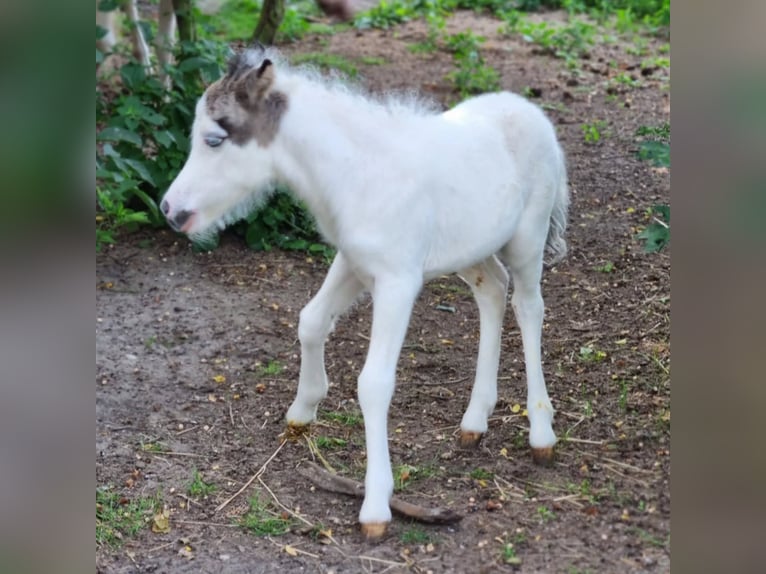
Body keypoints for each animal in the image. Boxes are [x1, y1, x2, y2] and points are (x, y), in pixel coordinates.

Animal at [161, 46, 569, 539]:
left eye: (215, 139)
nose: (170, 210)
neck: (355, 174)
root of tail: (531, 112)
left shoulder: (397, 282)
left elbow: (374, 382)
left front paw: (376, 505)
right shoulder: (353, 262)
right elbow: (311, 321)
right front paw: (303, 409)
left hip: (528, 238)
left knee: (528, 307)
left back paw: (541, 431)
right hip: (472, 248)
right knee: (492, 289)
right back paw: (475, 420)